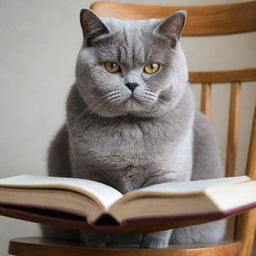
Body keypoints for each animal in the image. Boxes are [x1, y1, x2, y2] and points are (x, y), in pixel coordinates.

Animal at [41, 9, 227, 248]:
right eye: (111, 66)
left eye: (152, 67)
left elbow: (160, 212)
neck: (129, 126)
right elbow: (92, 206)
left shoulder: (168, 176)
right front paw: (97, 243)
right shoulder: (87, 172)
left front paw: (154, 244)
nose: (131, 84)